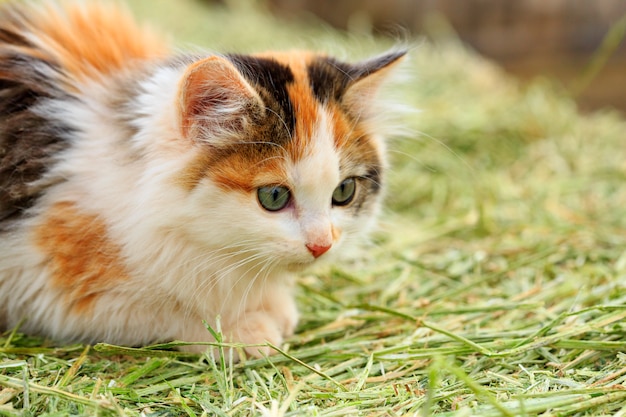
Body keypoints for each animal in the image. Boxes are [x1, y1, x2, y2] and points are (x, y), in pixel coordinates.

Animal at [0, 1, 402, 356]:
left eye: (344, 192)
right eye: (273, 196)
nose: (322, 245)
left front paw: (272, 303)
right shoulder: (39, 282)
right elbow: (156, 310)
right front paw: (244, 329)